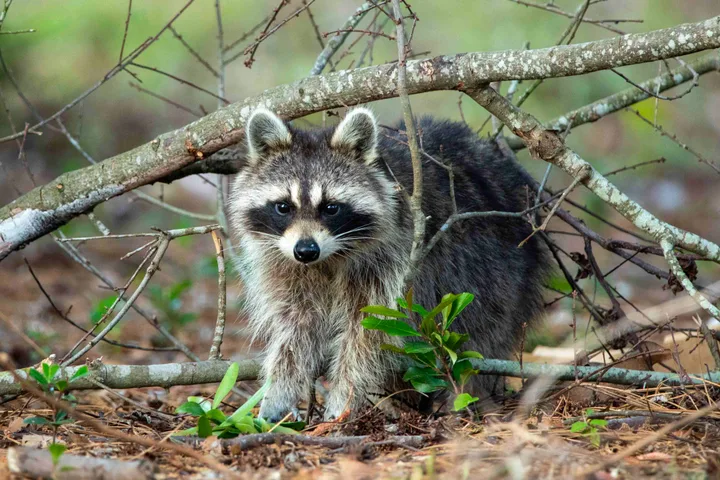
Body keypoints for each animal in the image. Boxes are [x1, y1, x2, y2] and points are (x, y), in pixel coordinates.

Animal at [228, 107, 549, 421]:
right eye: (283, 206)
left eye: (331, 208)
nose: (306, 250)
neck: (328, 258)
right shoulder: (284, 264)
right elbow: (295, 325)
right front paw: (279, 388)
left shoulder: (394, 259)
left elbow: (368, 332)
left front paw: (343, 397)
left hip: (496, 272)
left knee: (483, 330)